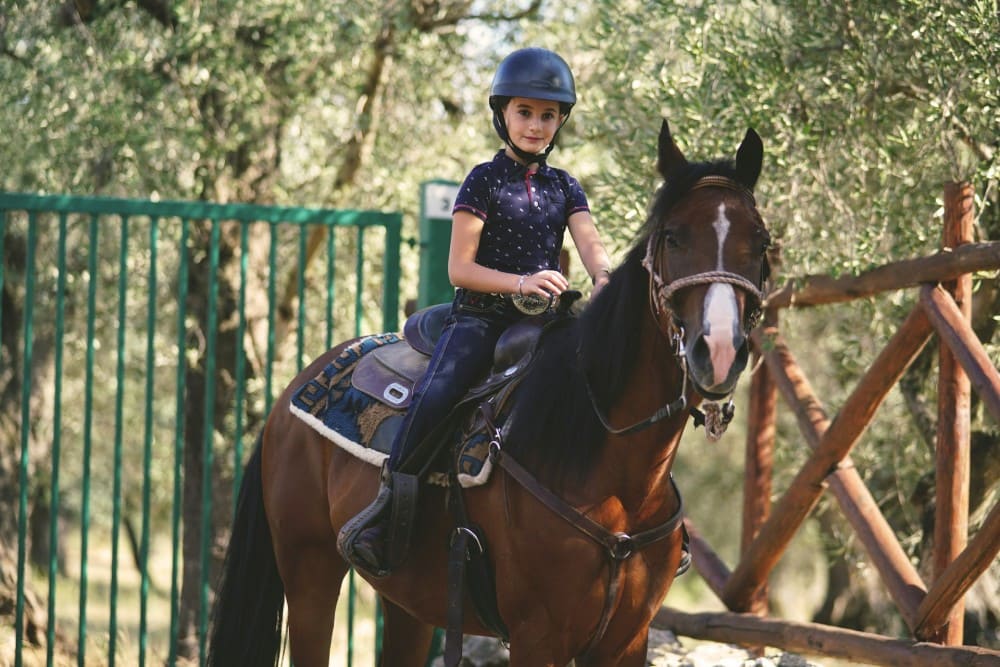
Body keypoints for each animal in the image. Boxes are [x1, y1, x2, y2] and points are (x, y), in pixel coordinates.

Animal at [207, 119, 771, 666]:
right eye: (673, 237)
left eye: (762, 242)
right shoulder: (537, 636)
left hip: (408, 602)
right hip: (310, 573)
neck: (609, 465)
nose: (719, 350)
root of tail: (292, 395)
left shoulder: (626, 642)